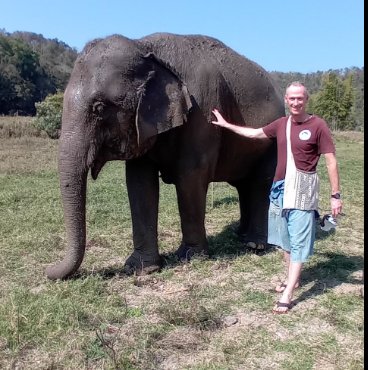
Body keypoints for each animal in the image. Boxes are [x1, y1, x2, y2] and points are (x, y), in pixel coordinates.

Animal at [43, 32, 284, 280]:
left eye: (99, 108)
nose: (47, 270)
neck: (146, 48)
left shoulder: (202, 111)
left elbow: (190, 177)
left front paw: (190, 257)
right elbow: (139, 182)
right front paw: (141, 268)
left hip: (273, 141)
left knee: (260, 183)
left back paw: (254, 245)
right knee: (244, 186)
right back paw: (240, 234)